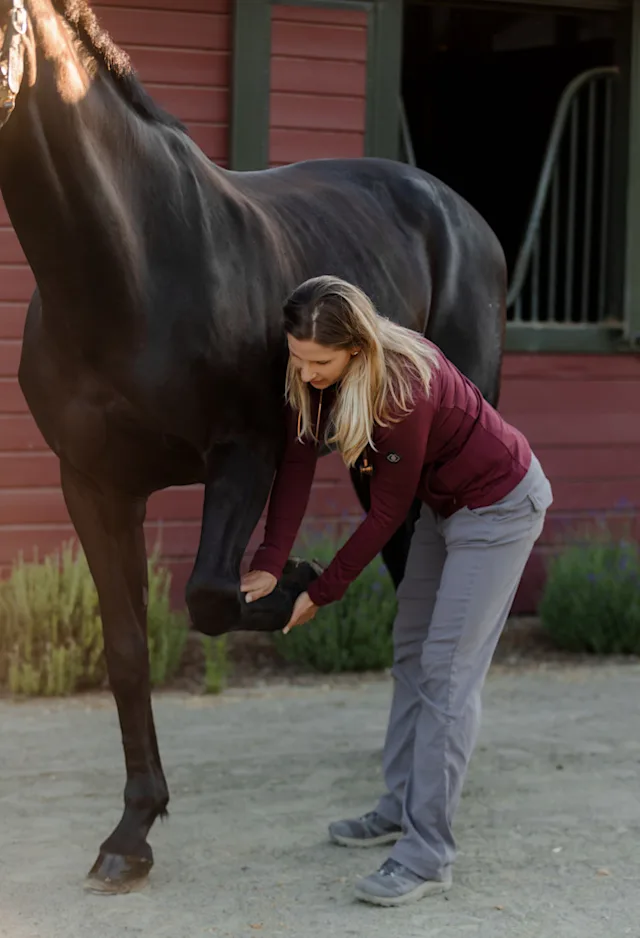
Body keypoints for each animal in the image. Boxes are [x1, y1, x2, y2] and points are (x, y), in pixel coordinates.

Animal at [0, 0, 507, 893]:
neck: (128, 264)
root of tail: (462, 216)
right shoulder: (91, 485)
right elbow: (127, 649)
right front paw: (130, 834)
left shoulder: (244, 455)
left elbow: (208, 595)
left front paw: (295, 577)